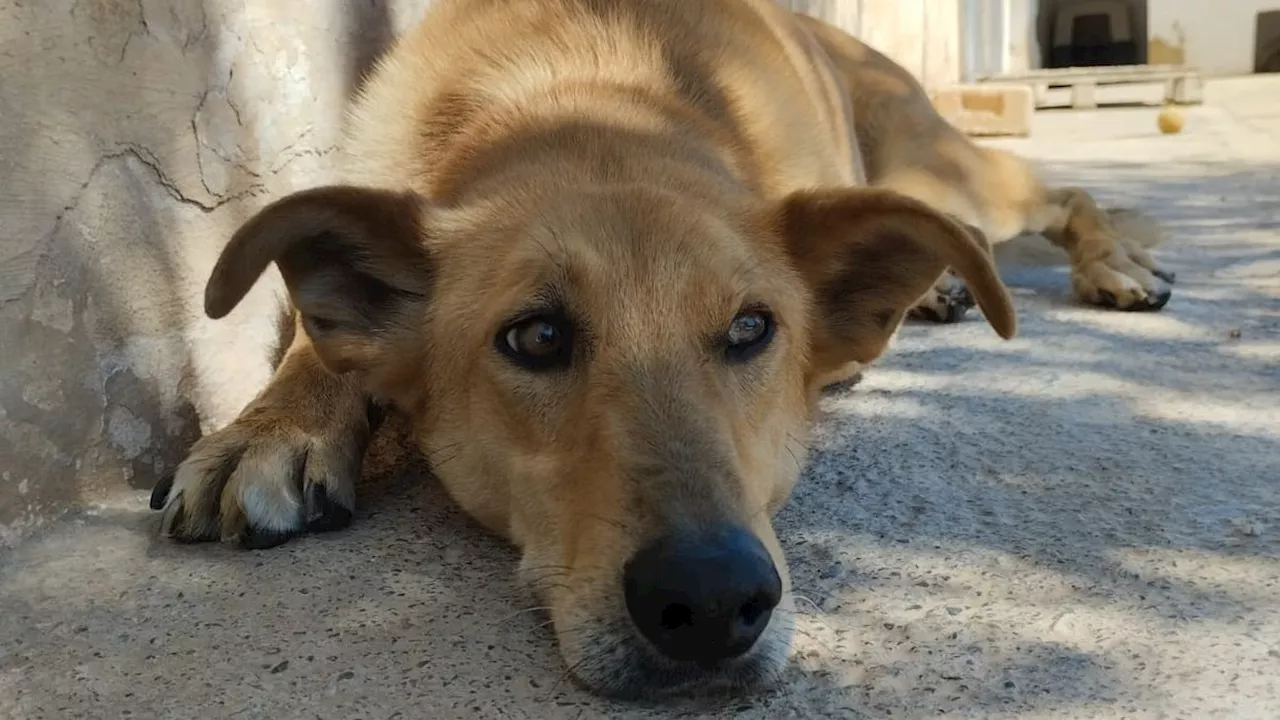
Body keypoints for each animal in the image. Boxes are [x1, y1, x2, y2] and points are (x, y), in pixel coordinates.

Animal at [149, 0, 1172, 696]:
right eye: (537, 335)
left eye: (752, 328)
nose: (714, 600)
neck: (585, 98)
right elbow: (313, 345)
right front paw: (269, 430)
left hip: (944, 175)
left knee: (1066, 192)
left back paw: (1116, 263)